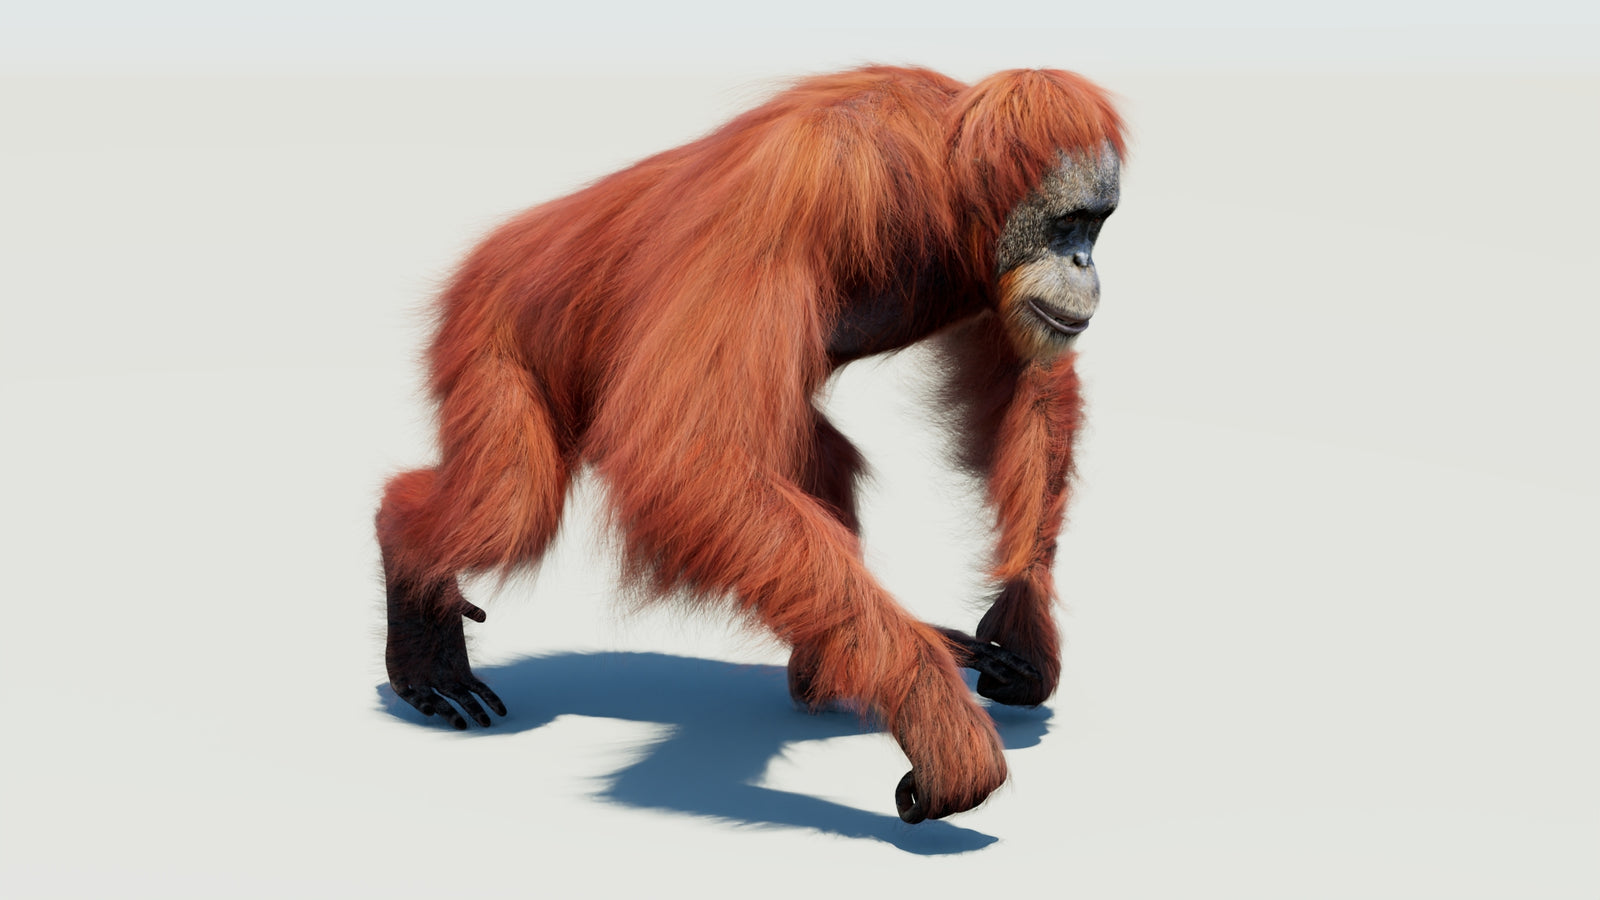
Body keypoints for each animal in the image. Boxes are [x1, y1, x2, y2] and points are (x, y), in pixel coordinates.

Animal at [377, 65, 1123, 824]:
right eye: (1068, 222)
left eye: (1097, 224)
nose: (1083, 263)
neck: (939, 182)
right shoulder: (800, 188)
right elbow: (689, 457)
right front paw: (935, 715)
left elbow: (1031, 377)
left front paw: (1022, 622)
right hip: (490, 329)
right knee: (512, 505)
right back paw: (413, 589)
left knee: (817, 465)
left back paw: (830, 671)